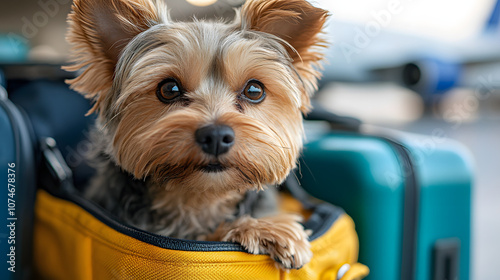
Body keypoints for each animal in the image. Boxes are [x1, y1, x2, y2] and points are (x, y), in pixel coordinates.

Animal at [65, 0, 328, 270]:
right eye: (169, 89)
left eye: (254, 90)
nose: (216, 136)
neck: (200, 198)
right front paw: (267, 229)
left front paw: (266, 227)